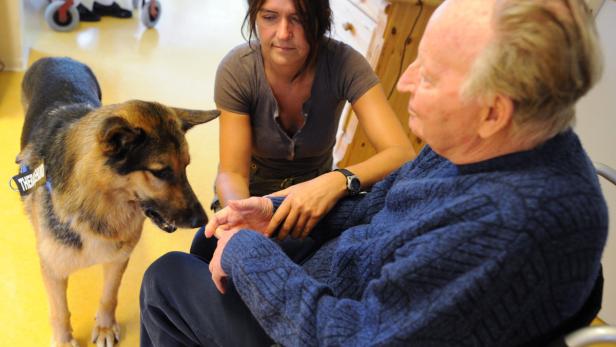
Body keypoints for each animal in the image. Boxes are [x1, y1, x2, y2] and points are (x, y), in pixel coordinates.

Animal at [16, 57, 220, 347]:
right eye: (160, 172)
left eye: (186, 166)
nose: (202, 221)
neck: (97, 201)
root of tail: (56, 58)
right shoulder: (53, 271)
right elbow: (59, 311)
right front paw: (64, 340)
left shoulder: (118, 260)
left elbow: (109, 296)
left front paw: (104, 326)